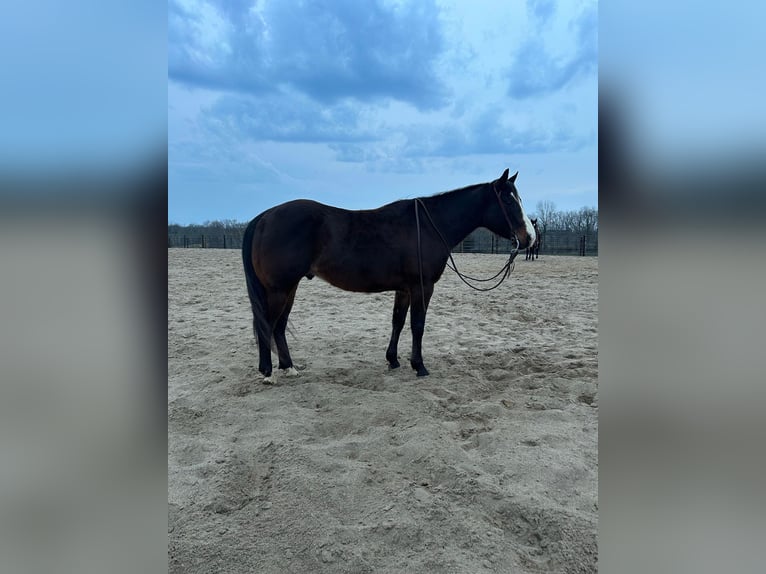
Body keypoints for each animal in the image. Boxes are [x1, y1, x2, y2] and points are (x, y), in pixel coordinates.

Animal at [243, 169, 536, 382]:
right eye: (508, 200)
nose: (530, 238)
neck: (429, 227)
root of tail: (265, 217)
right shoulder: (422, 287)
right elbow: (417, 325)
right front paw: (419, 366)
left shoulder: (404, 289)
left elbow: (398, 322)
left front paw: (393, 360)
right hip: (279, 289)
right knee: (267, 325)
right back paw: (268, 373)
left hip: (289, 288)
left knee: (279, 327)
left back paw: (288, 367)